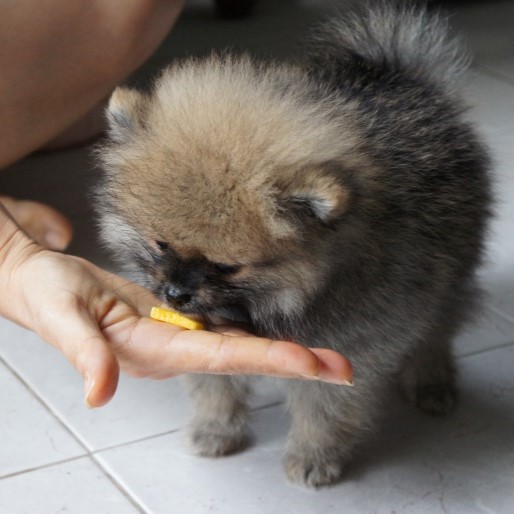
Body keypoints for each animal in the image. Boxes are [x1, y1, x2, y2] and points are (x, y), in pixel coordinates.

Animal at [95, 0, 488, 486]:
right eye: (161, 244)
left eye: (227, 267)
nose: (176, 293)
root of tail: (401, 74)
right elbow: (214, 383)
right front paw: (216, 429)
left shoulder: (351, 344)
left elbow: (324, 409)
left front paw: (313, 457)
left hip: (451, 273)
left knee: (437, 330)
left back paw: (432, 380)